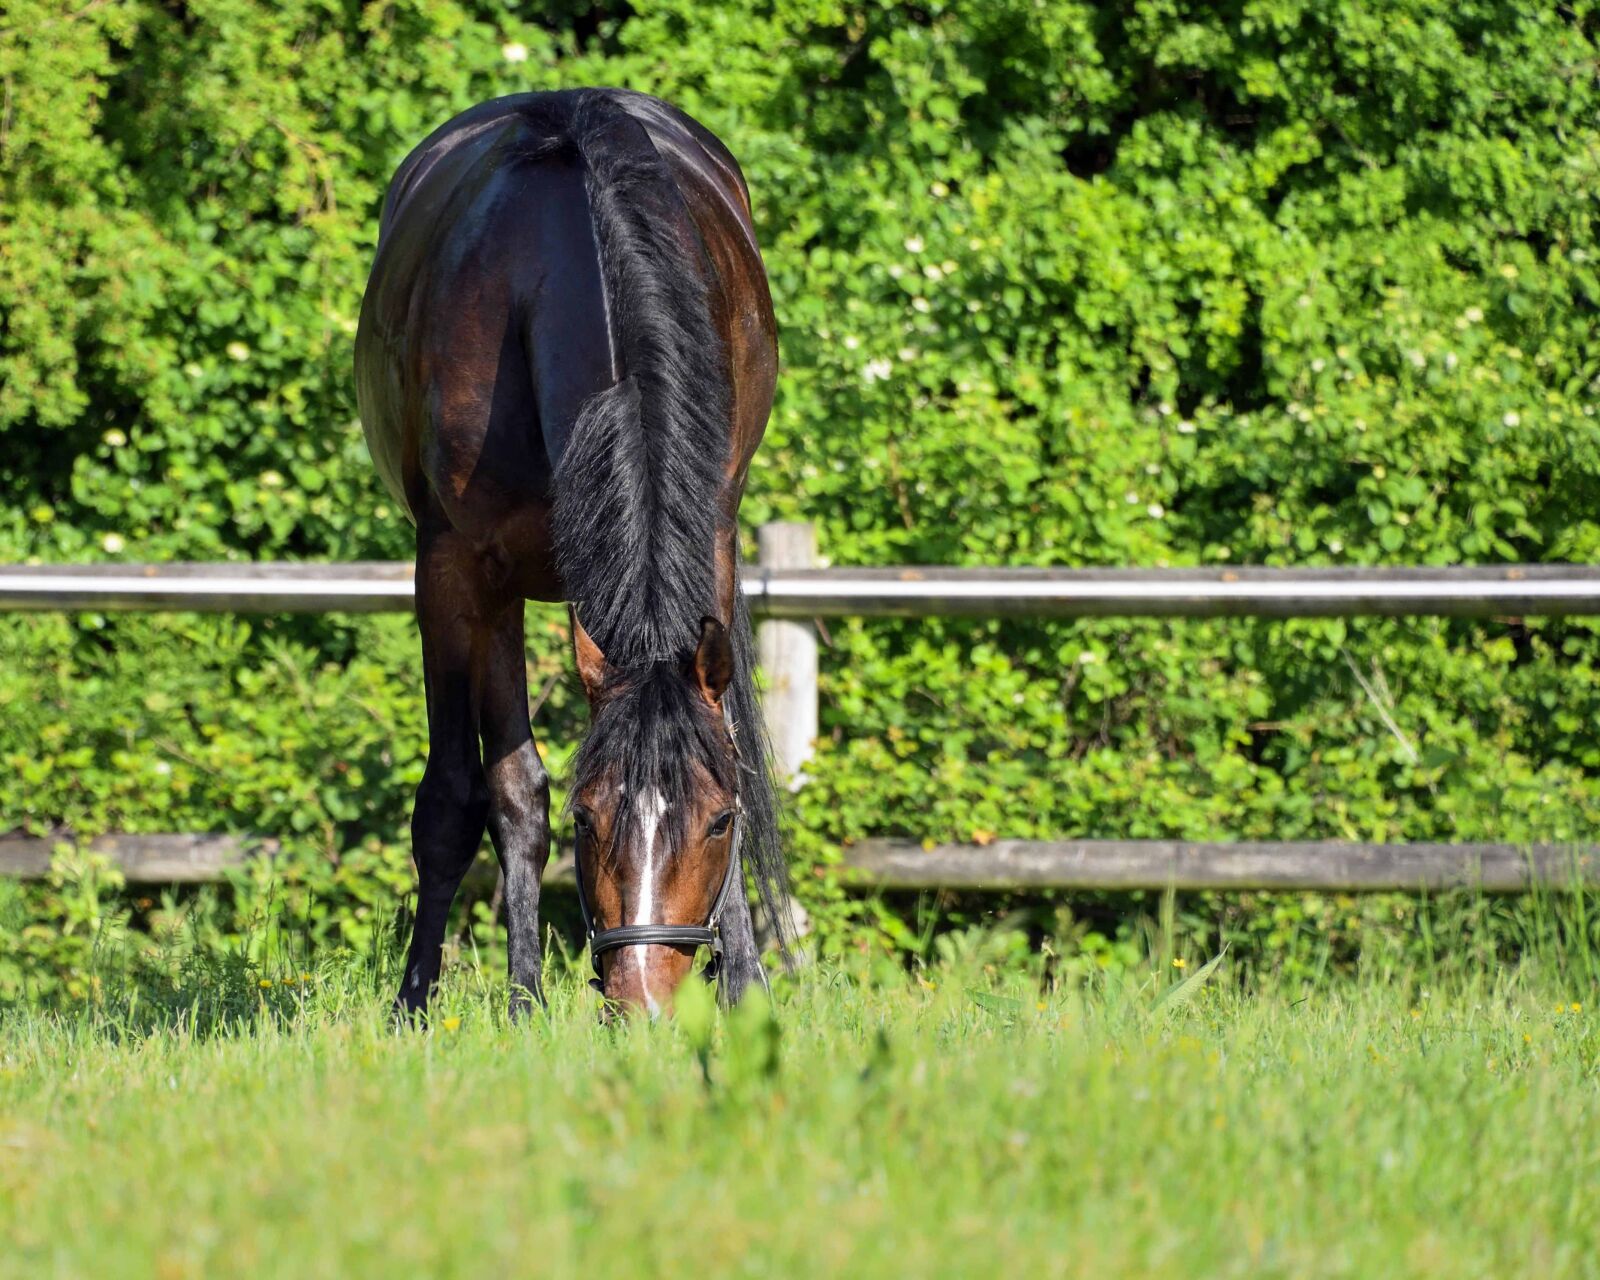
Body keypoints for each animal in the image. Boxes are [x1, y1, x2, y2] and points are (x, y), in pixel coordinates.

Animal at [354, 88, 787, 1017]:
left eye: (719, 820)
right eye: (591, 818)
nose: (646, 1001)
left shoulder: (715, 543)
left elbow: (726, 744)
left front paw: (744, 984)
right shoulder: (455, 570)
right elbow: (464, 796)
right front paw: (430, 1002)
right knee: (508, 789)